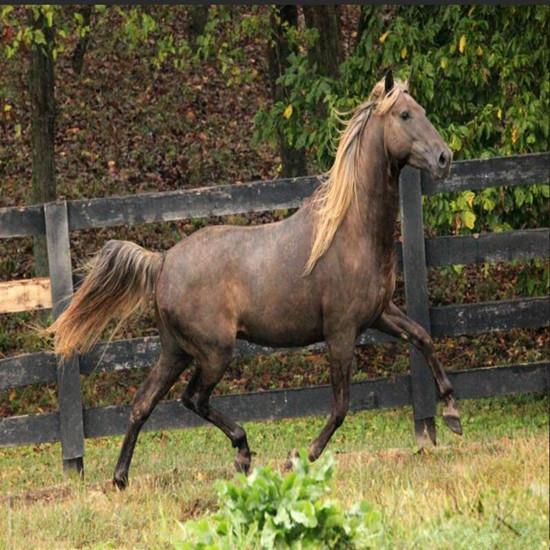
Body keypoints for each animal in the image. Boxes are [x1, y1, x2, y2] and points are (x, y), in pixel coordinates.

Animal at [47, 70, 464, 492]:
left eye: (421, 109)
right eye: (404, 115)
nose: (444, 158)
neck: (350, 231)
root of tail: (162, 261)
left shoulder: (380, 313)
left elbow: (423, 337)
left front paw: (452, 412)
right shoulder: (341, 332)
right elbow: (341, 406)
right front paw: (300, 457)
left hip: (176, 351)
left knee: (143, 403)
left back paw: (122, 477)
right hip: (214, 352)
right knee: (193, 398)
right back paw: (242, 452)